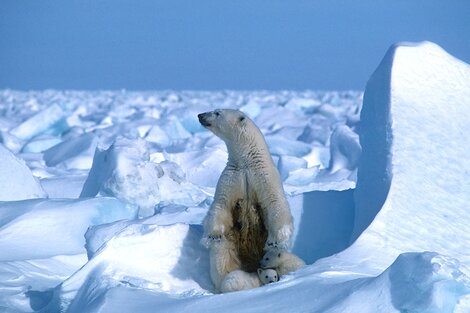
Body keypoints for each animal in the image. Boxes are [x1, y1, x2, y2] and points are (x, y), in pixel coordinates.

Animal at [198, 108, 294, 292]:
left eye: (217, 112)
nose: (200, 115)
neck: (246, 161)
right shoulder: (232, 178)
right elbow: (221, 204)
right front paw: (213, 235)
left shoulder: (263, 176)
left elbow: (275, 203)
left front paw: (275, 241)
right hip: (231, 245)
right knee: (222, 257)